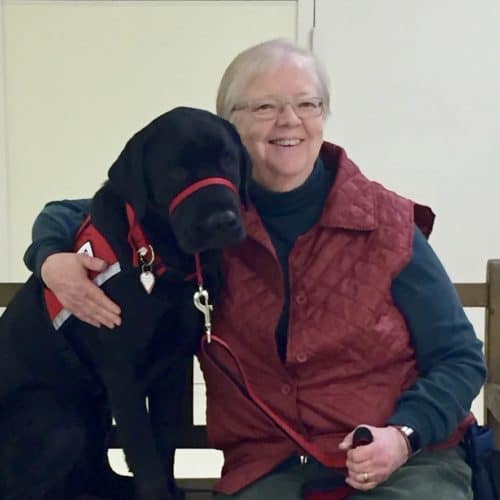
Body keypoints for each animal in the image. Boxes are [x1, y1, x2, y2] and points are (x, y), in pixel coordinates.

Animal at [0, 107, 249, 498]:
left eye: (227, 158)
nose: (223, 221)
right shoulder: (123, 376)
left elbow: (164, 444)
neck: (158, 251)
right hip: (55, 418)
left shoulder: (173, 366)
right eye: (176, 171)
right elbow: (145, 457)